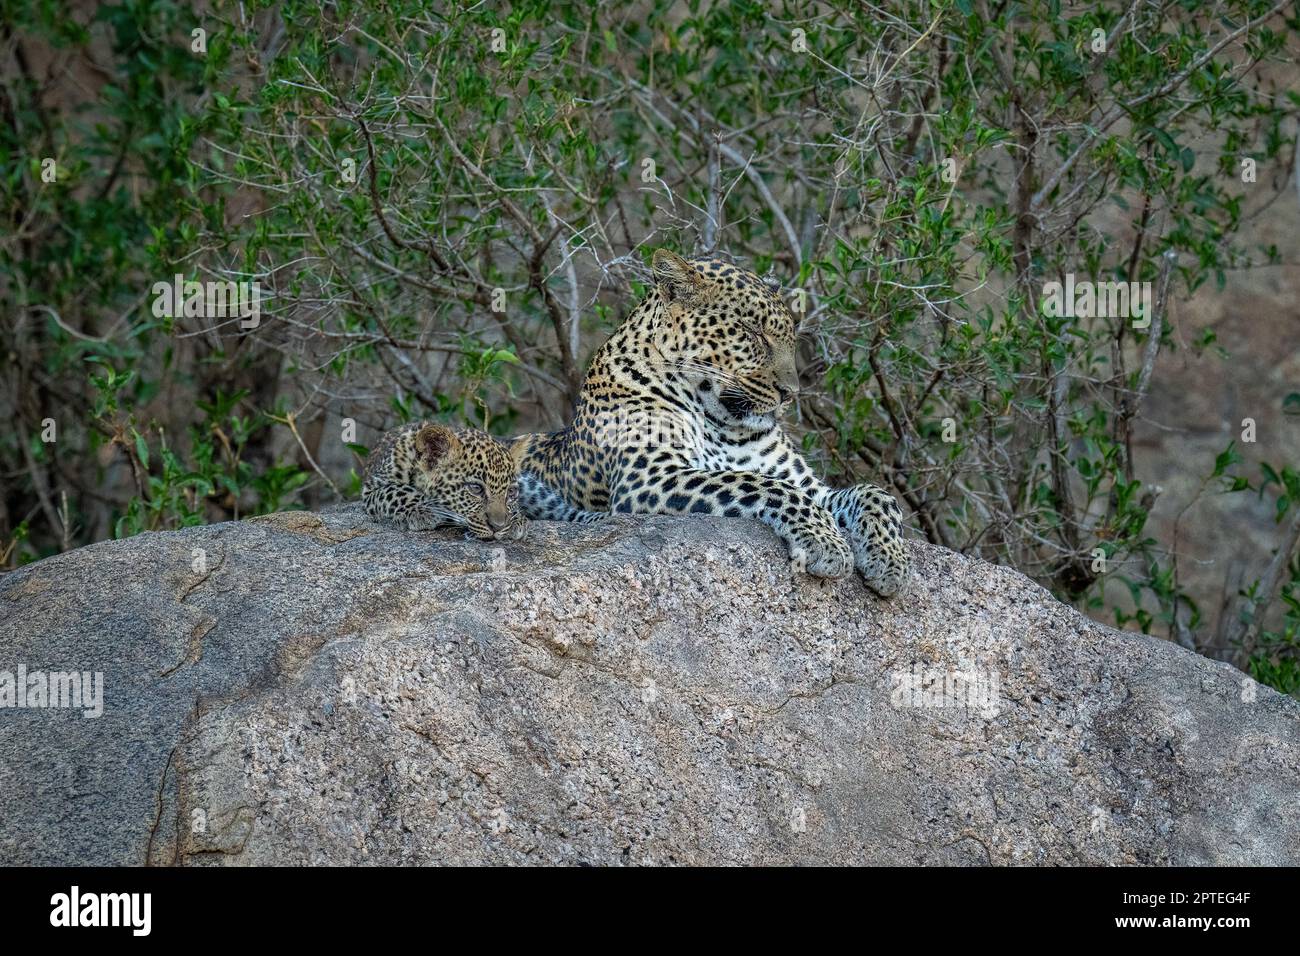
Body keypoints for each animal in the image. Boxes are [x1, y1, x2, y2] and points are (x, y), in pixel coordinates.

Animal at [362, 422, 526, 541]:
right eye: (475, 488)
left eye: (511, 492)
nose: (498, 527)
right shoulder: (370, 490)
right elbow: (396, 490)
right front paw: (422, 510)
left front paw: (517, 520)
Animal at [511, 249, 911, 597]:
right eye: (754, 333)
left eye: (790, 340)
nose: (791, 393)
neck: (723, 423)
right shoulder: (649, 478)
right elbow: (763, 484)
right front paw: (827, 543)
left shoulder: (812, 487)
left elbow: (875, 494)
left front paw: (890, 562)